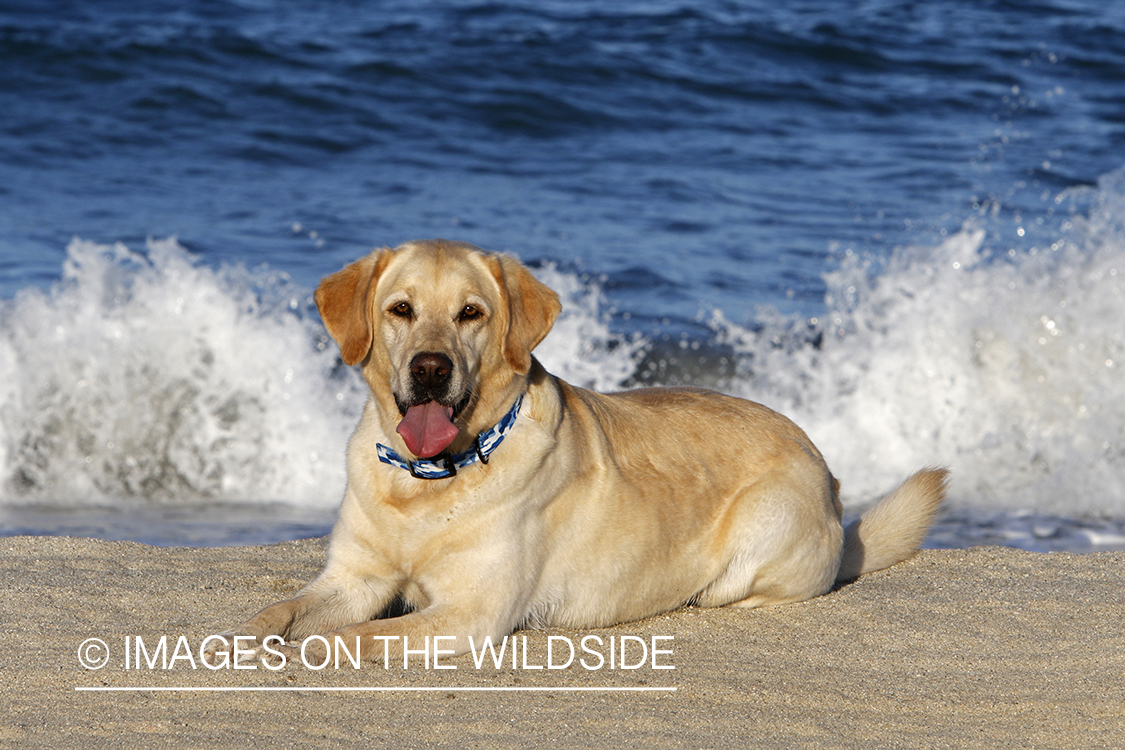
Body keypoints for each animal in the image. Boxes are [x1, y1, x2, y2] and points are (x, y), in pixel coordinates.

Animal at [212, 239, 949, 661]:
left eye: (471, 313)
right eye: (400, 309)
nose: (430, 368)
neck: (424, 483)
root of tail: (827, 472)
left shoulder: (469, 613)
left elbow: (351, 636)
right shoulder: (351, 579)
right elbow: (279, 611)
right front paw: (235, 637)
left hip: (763, 529)